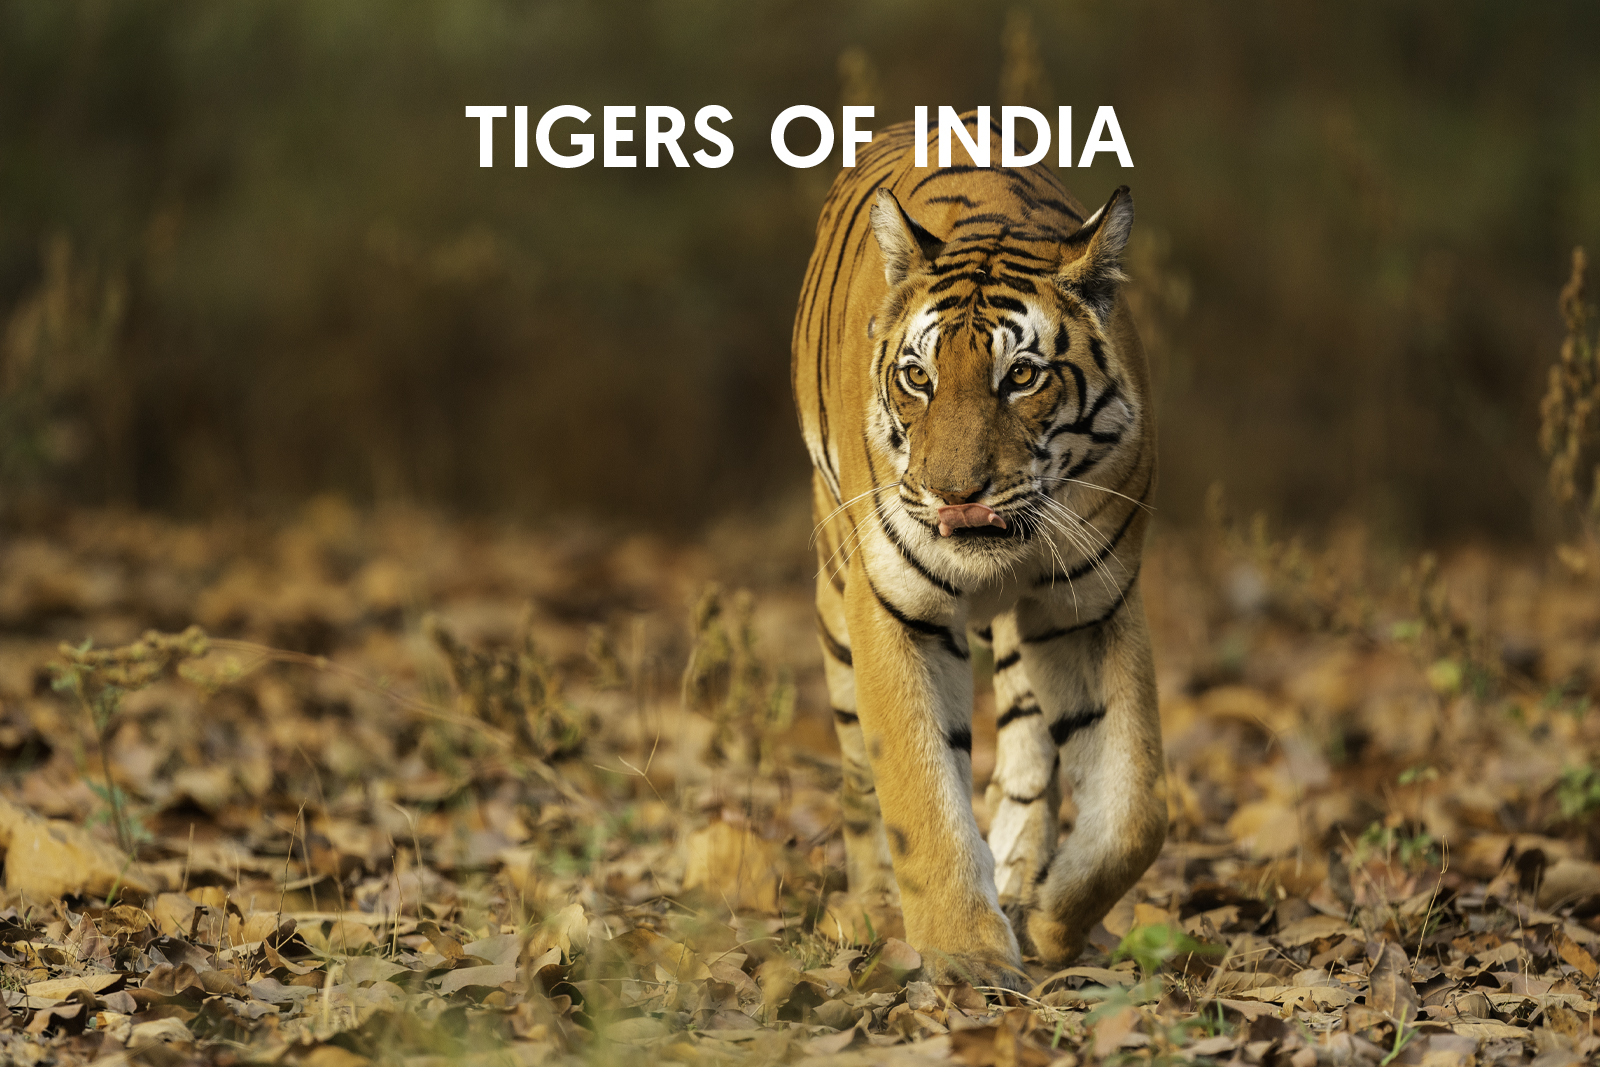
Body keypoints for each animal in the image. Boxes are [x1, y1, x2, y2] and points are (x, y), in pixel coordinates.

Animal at [791, 111, 1165, 988]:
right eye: (918, 378)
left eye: (1022, 376)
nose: (953, 492)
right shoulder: (893, 607)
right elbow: (919, 789)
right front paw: (966, 956)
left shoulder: (1091, 602)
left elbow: (1135, 807)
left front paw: (1055, 922)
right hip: (834, 594)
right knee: (858, 773)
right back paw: (872, 906)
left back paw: (1020, 872)